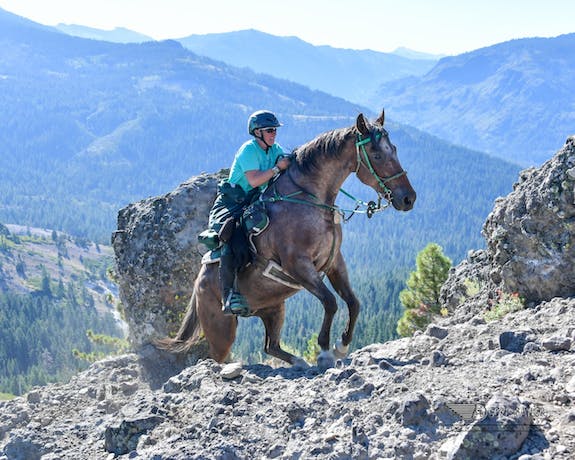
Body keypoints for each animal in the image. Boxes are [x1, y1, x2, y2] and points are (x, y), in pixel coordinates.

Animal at [158, 108, 416, 370]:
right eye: (376, 154)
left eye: (394, 149)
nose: (408, 198)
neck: (308, 200)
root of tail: (197, 286)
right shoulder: (298, 265)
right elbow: (330, 301)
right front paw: (325, 351)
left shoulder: (334, 262)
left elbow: (353, 303)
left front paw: (341, 346)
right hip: (221, 329)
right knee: (217, 357)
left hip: (273, 308)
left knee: (270, 345)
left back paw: (299, 361)